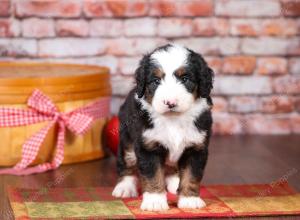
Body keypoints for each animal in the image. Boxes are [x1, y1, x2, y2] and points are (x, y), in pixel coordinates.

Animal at [112, 43, 213, 211]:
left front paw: (189, 200)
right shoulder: (148, 146)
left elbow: (191, 175)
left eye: (185, 79)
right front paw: (155, 202)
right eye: (156, 80)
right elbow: (153, 175)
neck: (174, 119)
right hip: (127, 141)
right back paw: (124, 188)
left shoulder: (196, 147)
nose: (170, 102)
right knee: (127, 164)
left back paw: (174, 183)